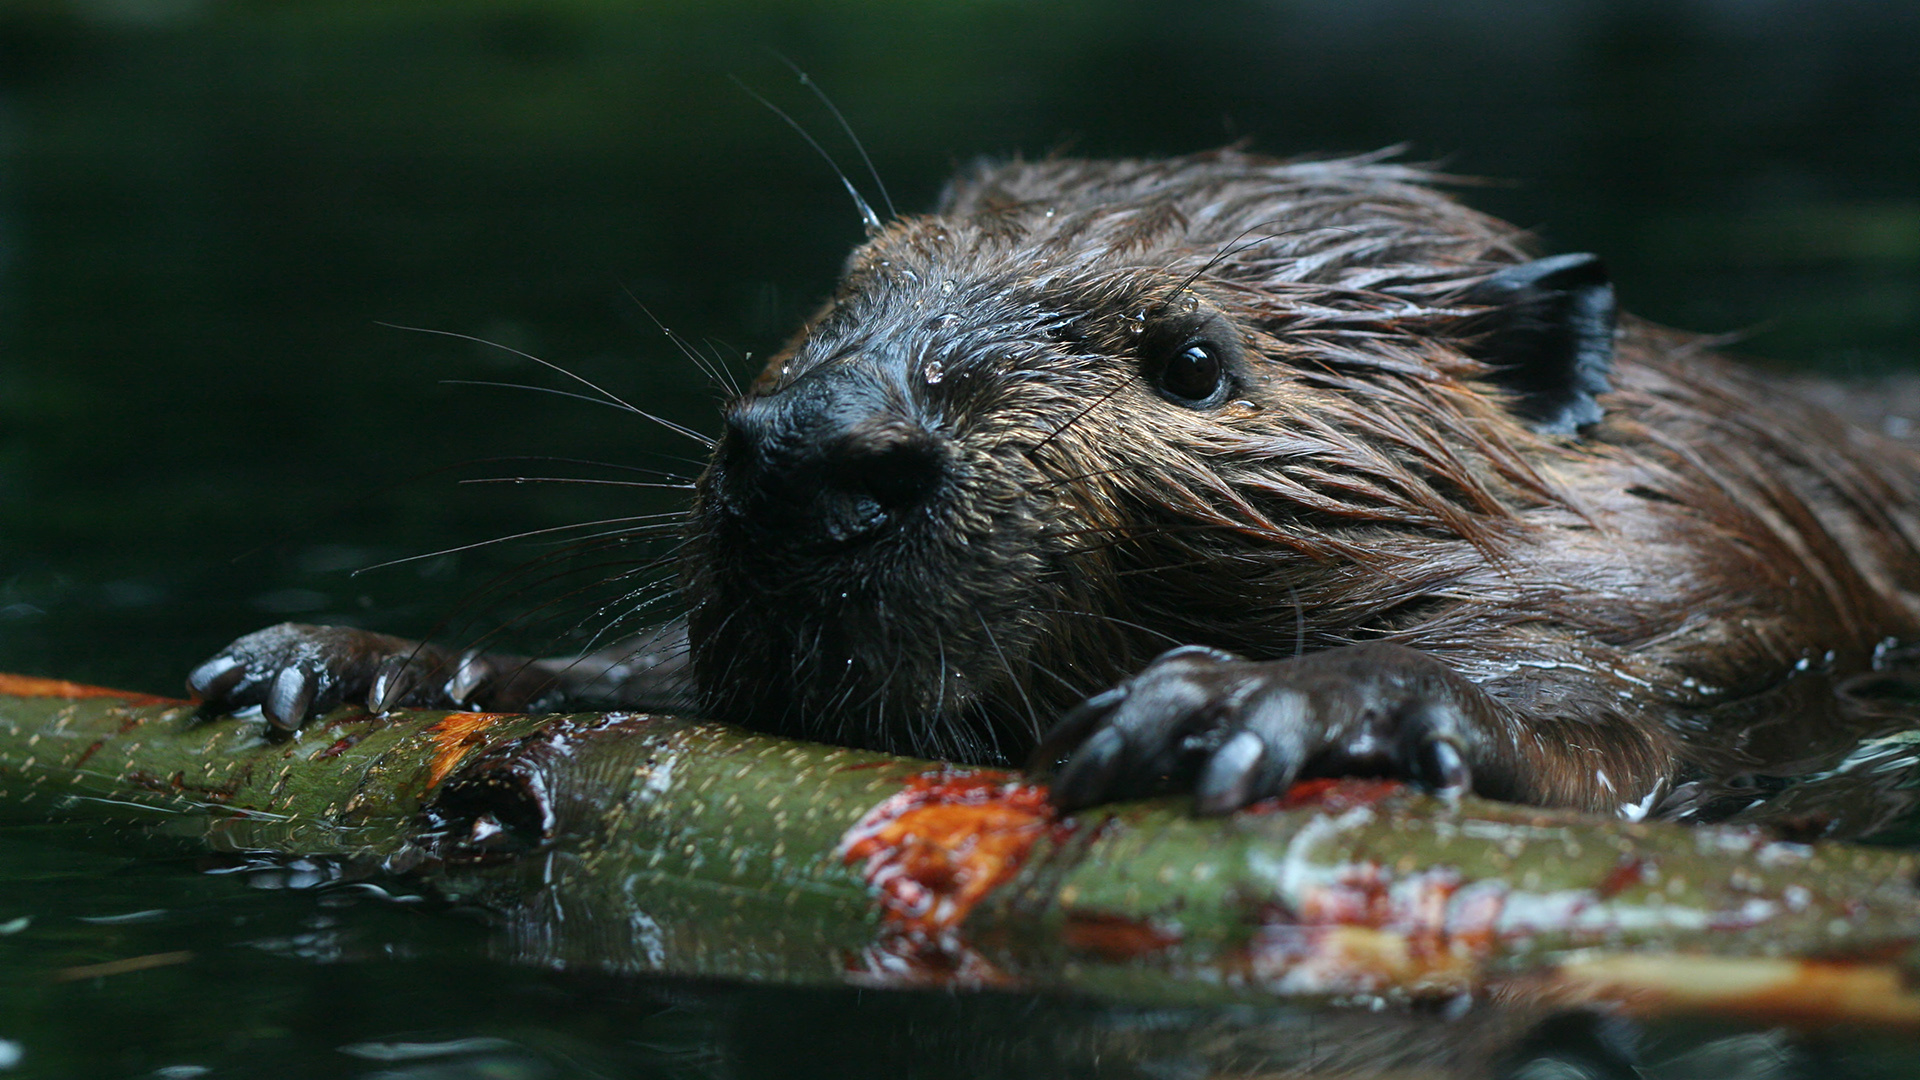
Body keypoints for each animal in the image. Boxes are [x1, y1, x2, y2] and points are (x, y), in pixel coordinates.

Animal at [187, 151, 1920, 818]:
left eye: (1194, 362)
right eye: (855, 278)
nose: (818, 454)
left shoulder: (1721, 592)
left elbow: (1594, 722)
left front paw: (1251, 704)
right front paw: (354, 664)